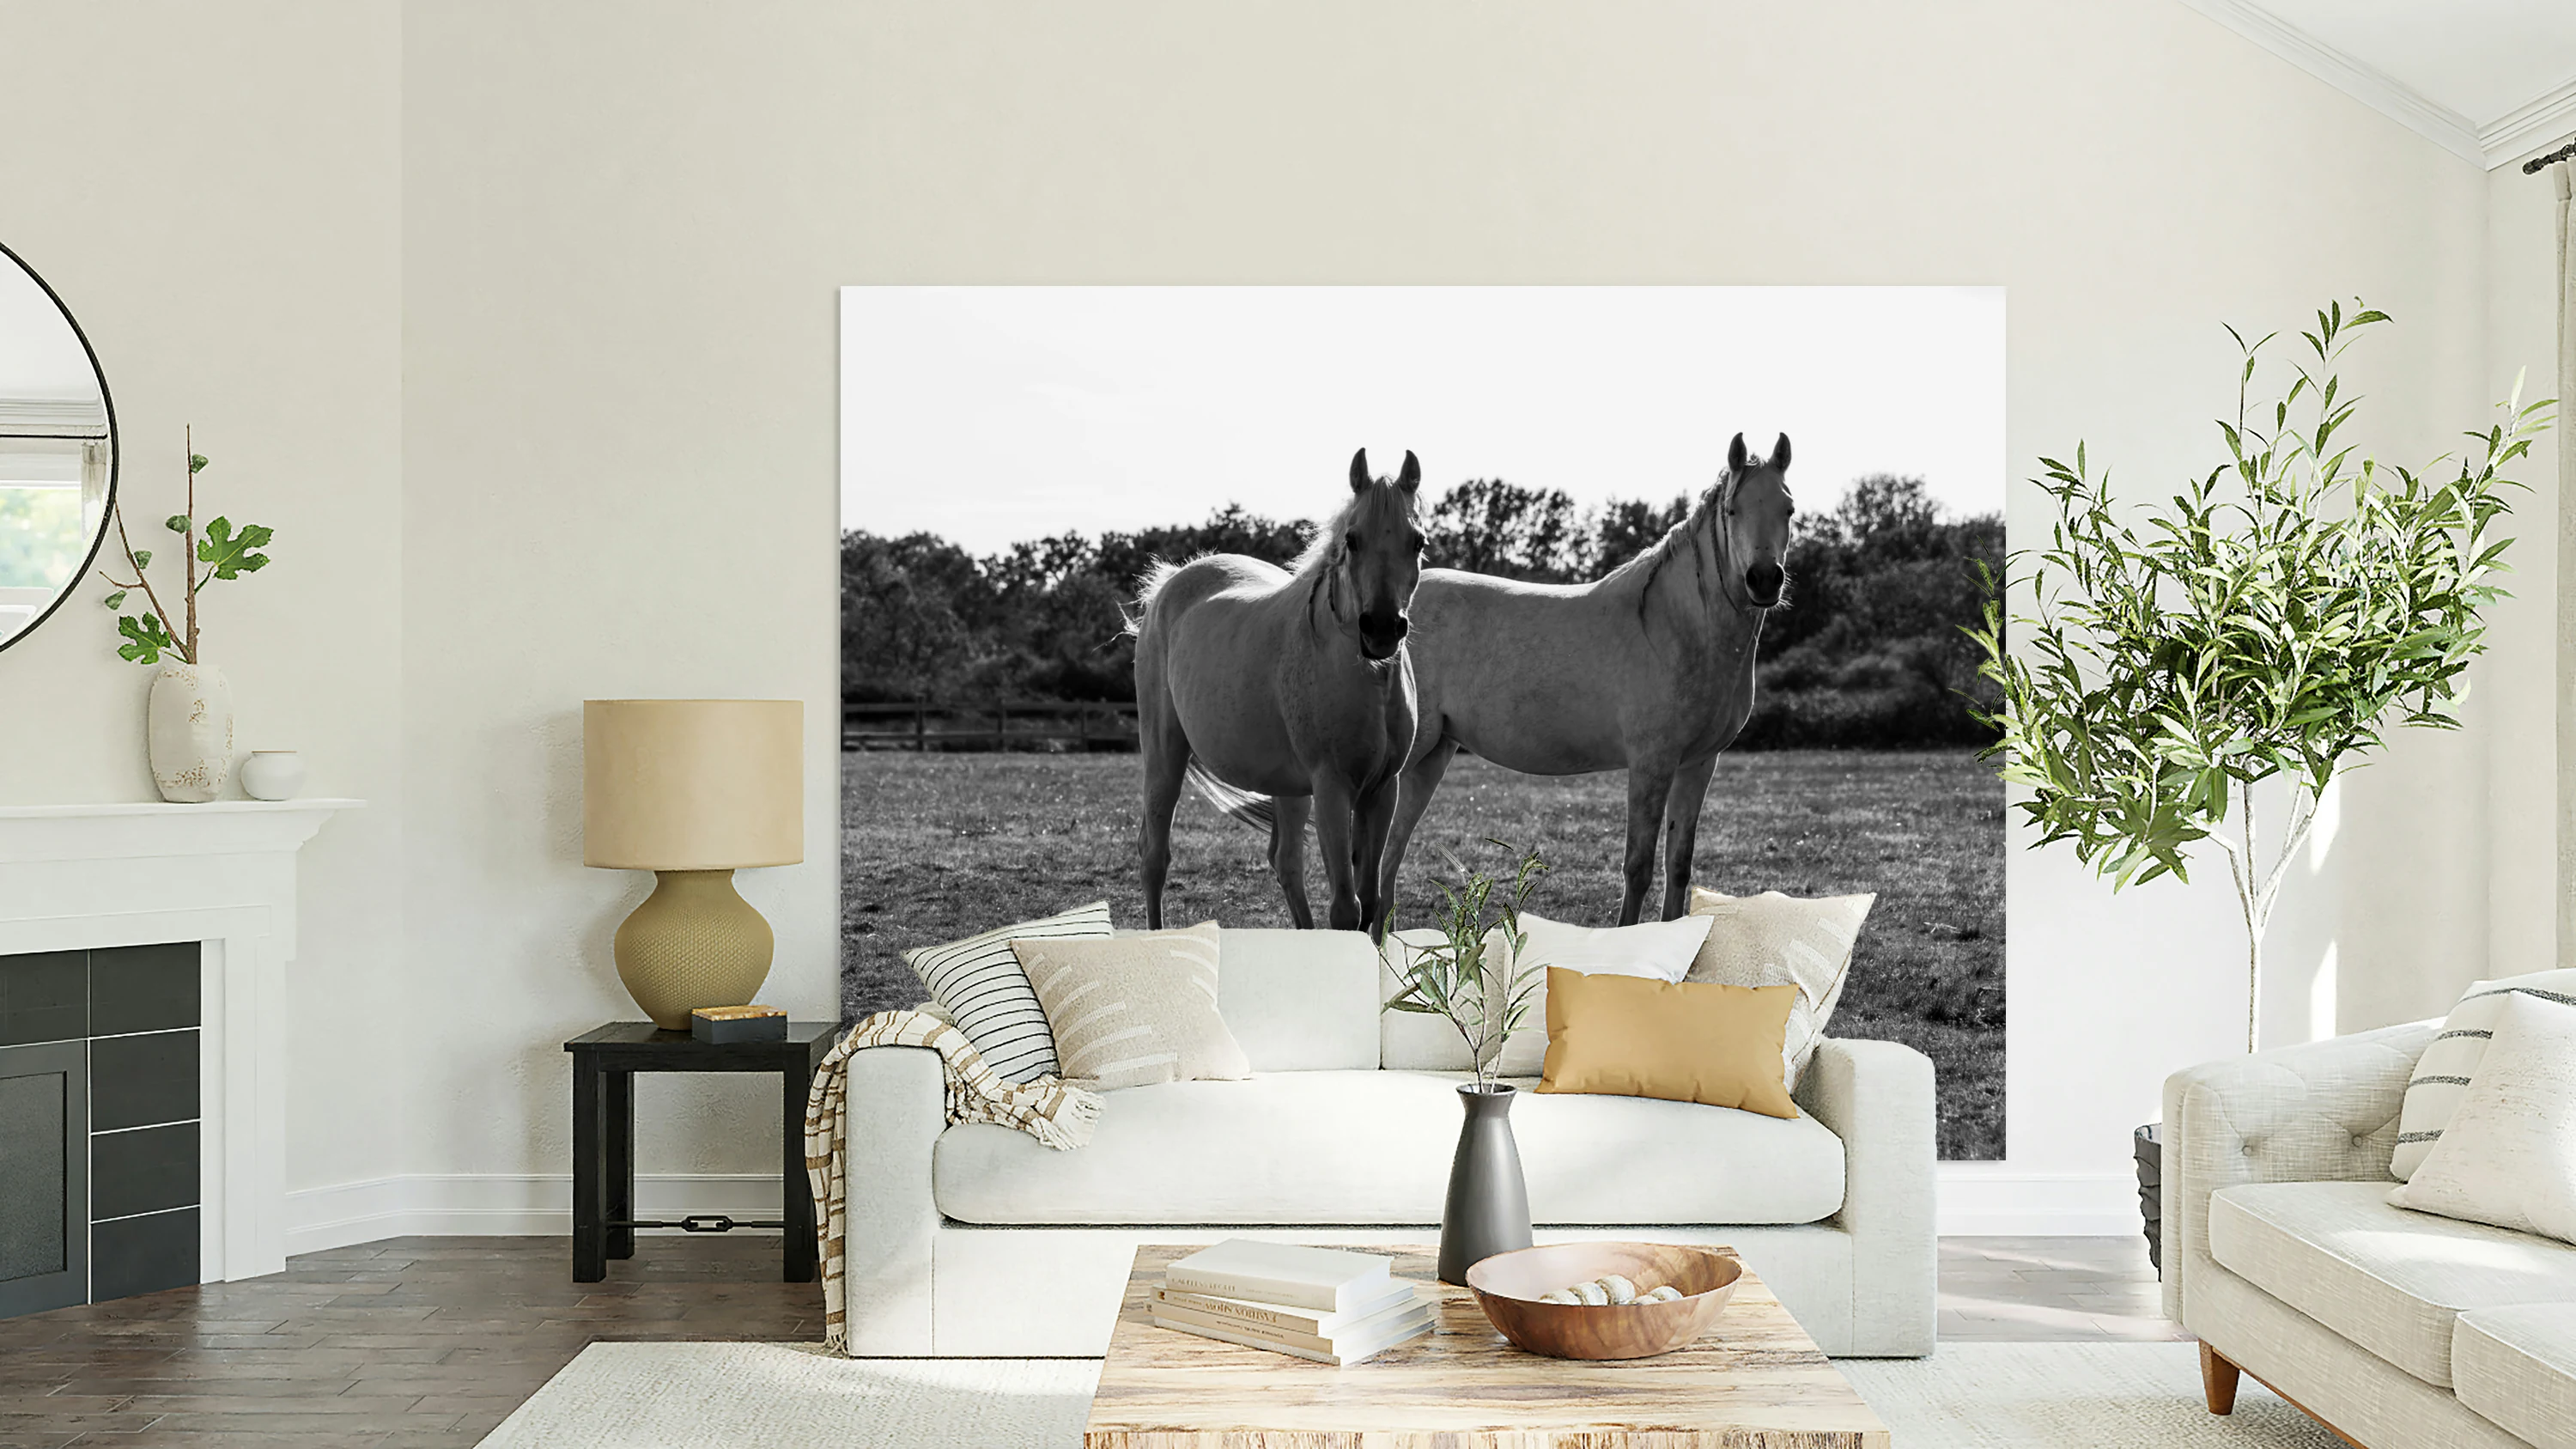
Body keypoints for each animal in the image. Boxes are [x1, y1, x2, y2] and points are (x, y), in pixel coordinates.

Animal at [1131, 448, 1427, 933]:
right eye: (1353, 539)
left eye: (1417, 541)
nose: (1382, 629)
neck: (1366, 676)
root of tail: (1168, 586)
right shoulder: (1332, 789)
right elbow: (1346, 909)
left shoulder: (1383, 791)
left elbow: (1372, 902)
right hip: (1164, 757)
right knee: (1154, 856)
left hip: (1288, 788)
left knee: (1286, 862)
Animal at [1376, 431, 1795, 926]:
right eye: (1733, 510)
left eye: (1788, 509)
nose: (1764, 580)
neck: (1678, 627)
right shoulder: (1651, 764)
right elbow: (1638, 866)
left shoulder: (1697, 764)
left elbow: (1678, 864)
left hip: (1432, 756)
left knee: (1389, 854)